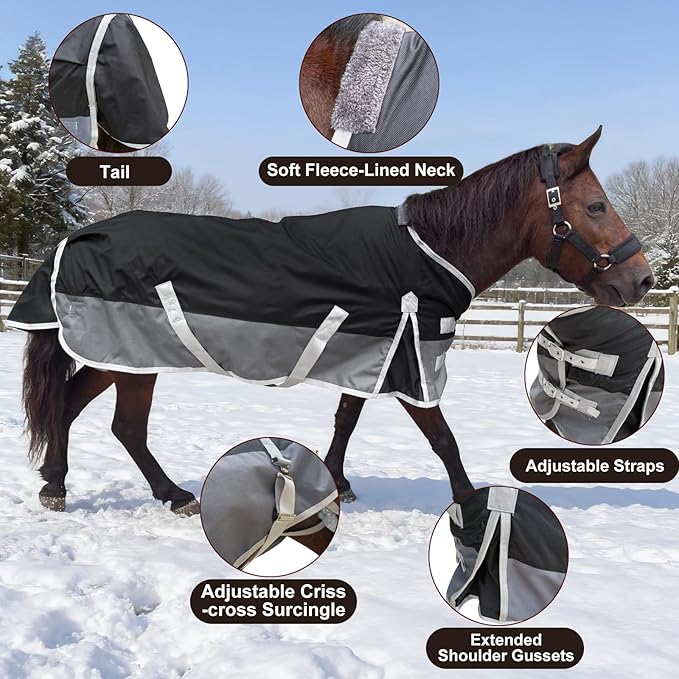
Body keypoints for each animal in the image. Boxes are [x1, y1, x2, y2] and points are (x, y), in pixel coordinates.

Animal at [9, 127, 653, 518]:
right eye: (595, 206)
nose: (641, 281)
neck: (427, 253)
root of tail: (78, 237)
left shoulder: (375, 353)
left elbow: (346, 420)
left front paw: (335, 484)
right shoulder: (412, 365)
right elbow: (443, 439)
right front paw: (471, 506)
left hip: (115, 354)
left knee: (70, 407)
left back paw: (56, 483)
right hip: (132, 357)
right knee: (124, 426)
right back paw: (169, 496)